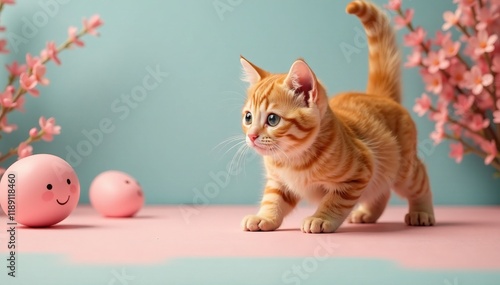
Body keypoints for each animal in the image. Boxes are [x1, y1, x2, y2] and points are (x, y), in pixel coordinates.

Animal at [238, 0, 434, 232]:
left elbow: (334, 200)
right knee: (382, 191)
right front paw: (265, 217)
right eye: (248, 117)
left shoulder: (360, 172)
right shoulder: (278, 182)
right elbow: (273, 199)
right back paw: (368, 213)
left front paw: (320, 218)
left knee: (419, 179)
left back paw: (422, 212)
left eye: (272, 119)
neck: (292, 160)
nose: (251, 136)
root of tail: (377, 95)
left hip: (402, 168)